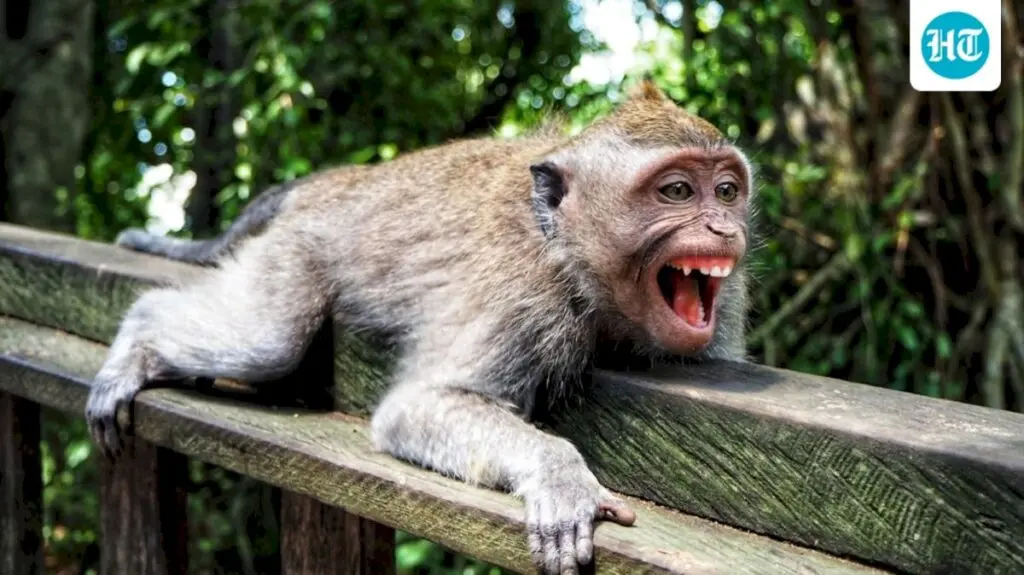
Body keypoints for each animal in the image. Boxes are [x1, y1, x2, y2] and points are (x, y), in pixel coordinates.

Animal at [87, 80, 756, 575]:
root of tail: (339, 180)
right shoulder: (524, 295)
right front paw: (559, 472)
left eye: (726, 190)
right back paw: (140, 338)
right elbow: (416, 408)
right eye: (677, 190)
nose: (725, 228)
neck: (568, 252)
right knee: (266, 342)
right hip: (299, 246)